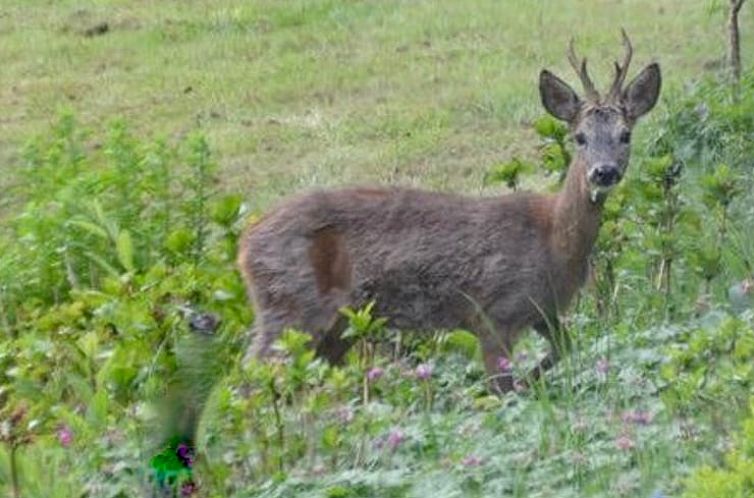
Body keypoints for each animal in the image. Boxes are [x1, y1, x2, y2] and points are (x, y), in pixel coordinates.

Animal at [239, 32, 656, 392]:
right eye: (579, 137)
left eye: (625, 134)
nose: (603, 172)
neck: (554, 241)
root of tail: (244, 244)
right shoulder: (494, 312)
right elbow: (501, 387)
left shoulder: (544, 311)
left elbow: (563, 350)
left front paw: (530, 382)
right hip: (290, 305)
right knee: (250, 377)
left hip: (337, 326)